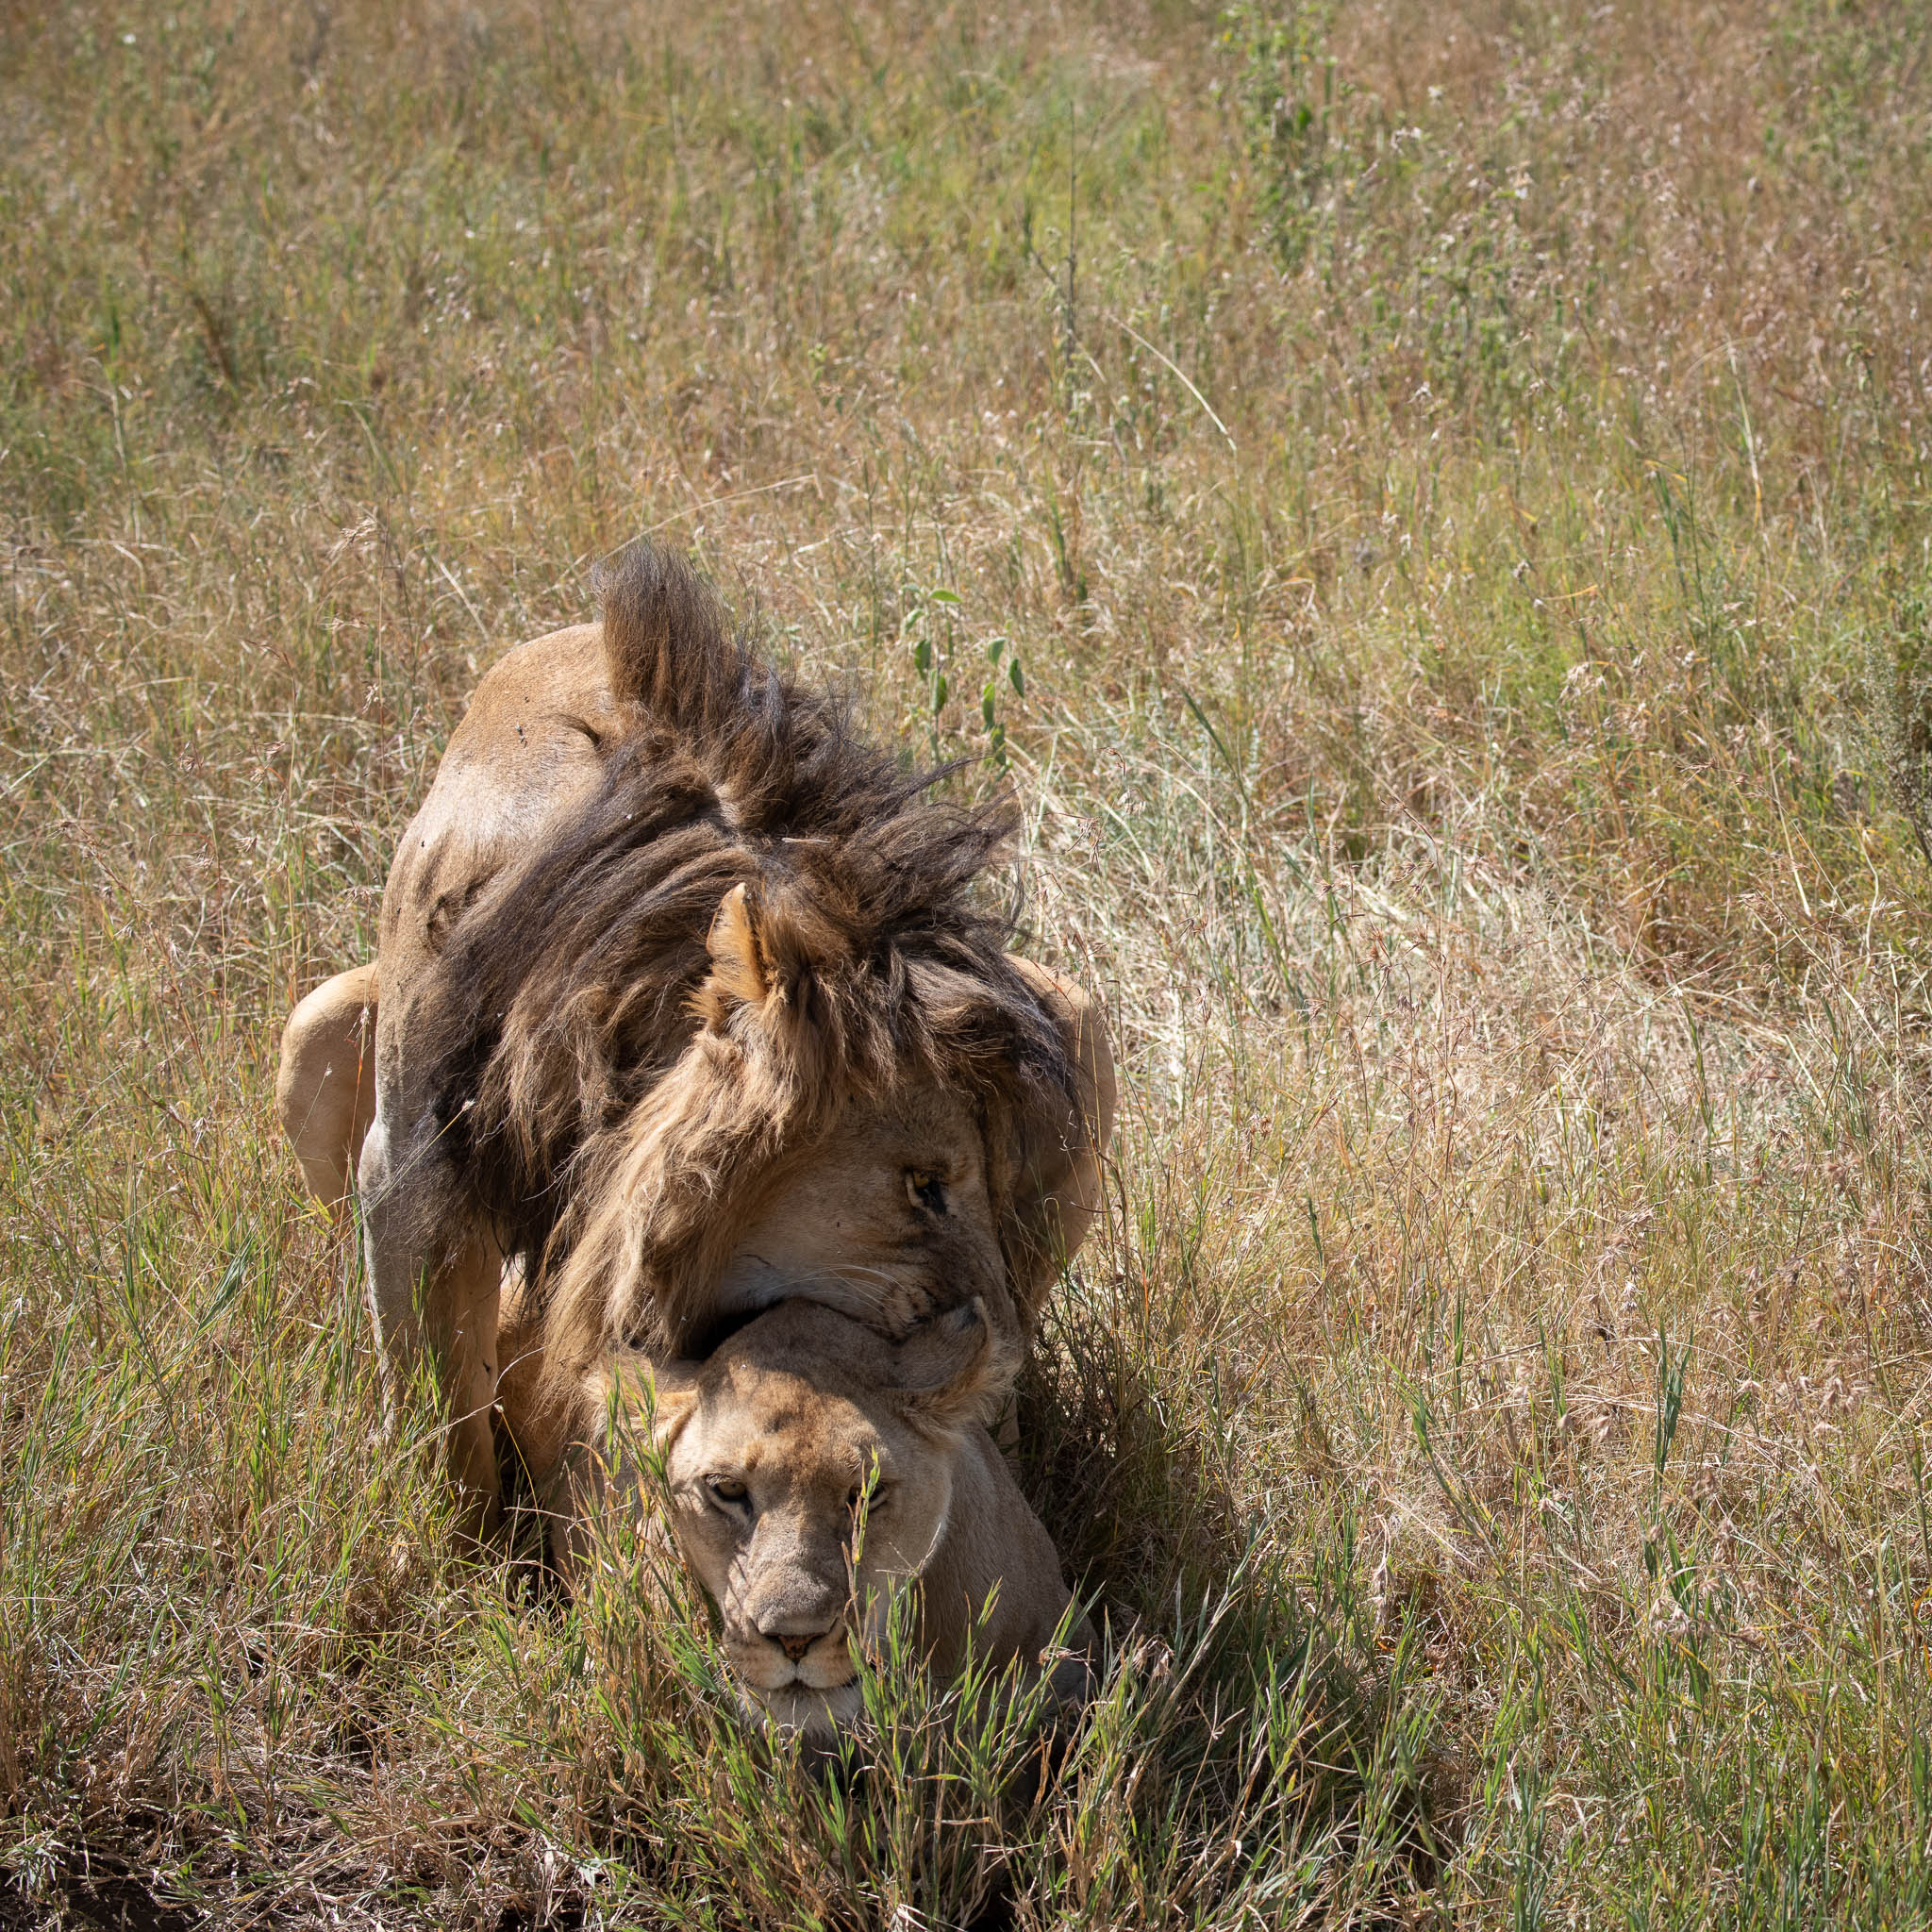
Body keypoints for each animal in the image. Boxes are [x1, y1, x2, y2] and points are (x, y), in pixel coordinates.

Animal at [277, 537, 1112, 1514]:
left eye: (1001, 1180)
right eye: (923, 1185)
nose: (1003, 1361)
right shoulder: (408, 1169)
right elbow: (446, 1432)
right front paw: (472, 1549)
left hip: (1081, 1015)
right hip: (315, 1020)